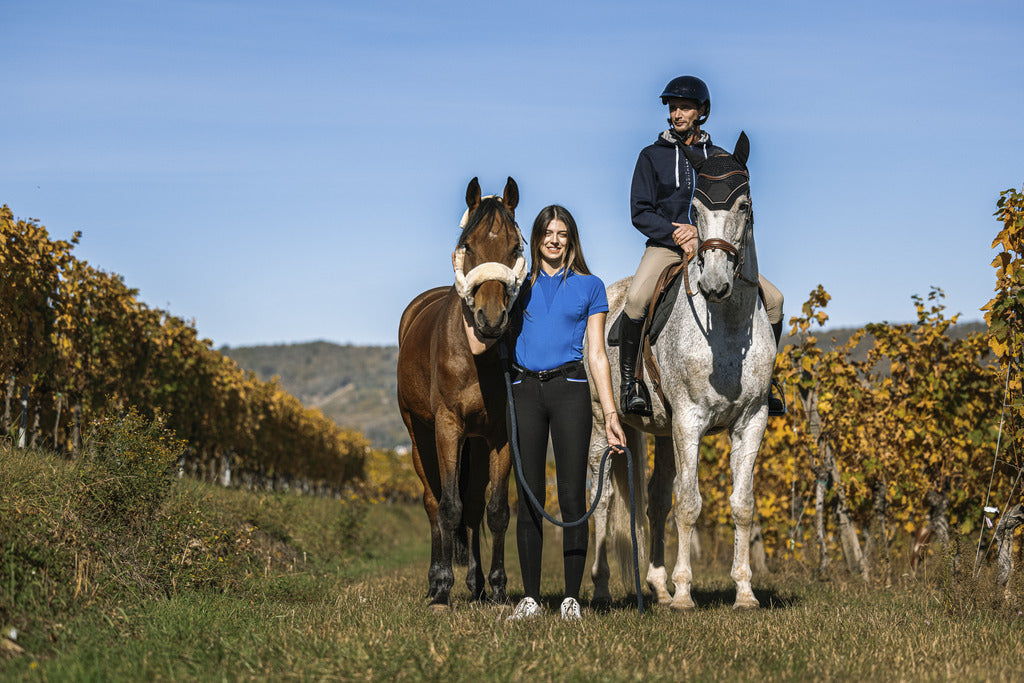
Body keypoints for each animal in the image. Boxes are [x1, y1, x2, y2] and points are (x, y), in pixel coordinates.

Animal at [395, 176, 524, 610]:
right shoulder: (447, 428)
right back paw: (438, 582)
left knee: (472, 507)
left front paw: (498, 590)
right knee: (434, 501)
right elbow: (448, 506)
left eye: (516, 247)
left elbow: (495, 511)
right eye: (468, 245)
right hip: (419, 434)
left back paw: (477, 584)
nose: (491, 318)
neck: (475, 355)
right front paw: (441, 591)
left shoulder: (501, 435)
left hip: (478, 444)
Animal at [589, 131, 770, 610]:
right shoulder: (690, 420)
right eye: (695, 211)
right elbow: (688, 504)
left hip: (659, 429)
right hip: (601, 423)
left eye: (744, 205)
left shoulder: (752, 420)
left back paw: (657, 587)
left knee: (651, 500)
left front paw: (744, 592)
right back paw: (601, 588)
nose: (714, 284)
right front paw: (687, 592)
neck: (726, 325)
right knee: (604, 499)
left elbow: (742, 504)